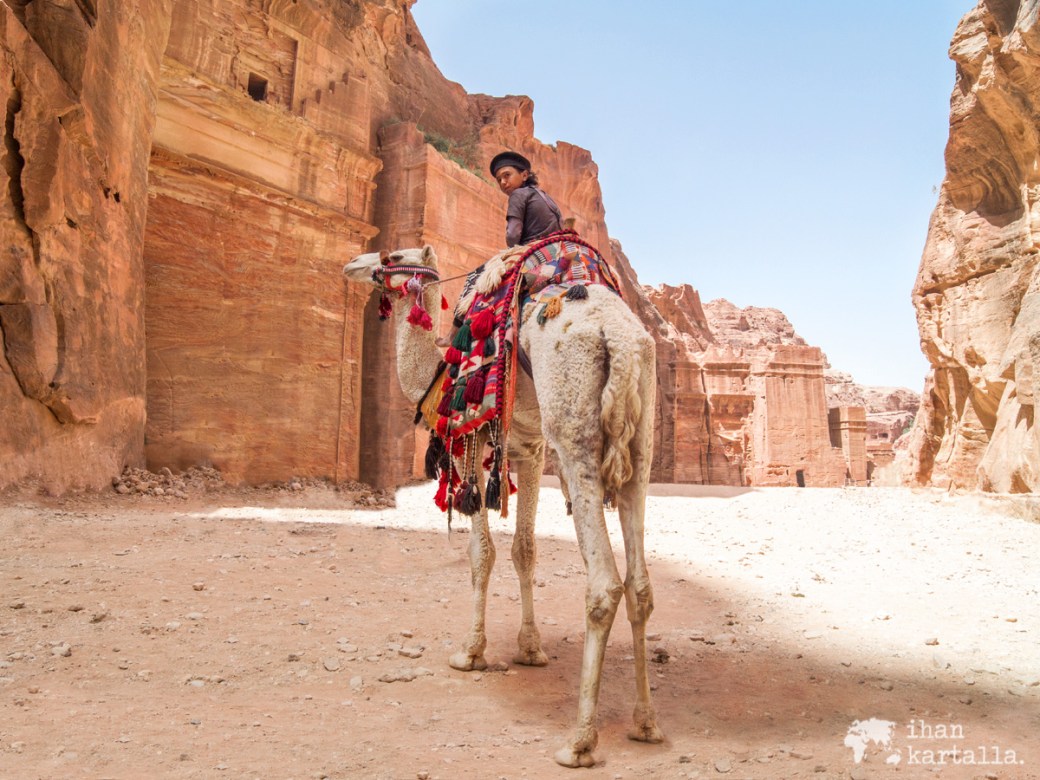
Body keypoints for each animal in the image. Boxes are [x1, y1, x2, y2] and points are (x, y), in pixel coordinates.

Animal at [342, 244, 663, 767]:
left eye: (391, 256)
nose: (352, 264)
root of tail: (617, 335)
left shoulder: (468, 442)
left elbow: (482, 555)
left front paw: (471, 653)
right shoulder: (529, 449)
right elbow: (525, 551)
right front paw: (530, 649)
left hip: (574, 432)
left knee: (603, 584)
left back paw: (579, 740)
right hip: (640, 441)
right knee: (639, 584)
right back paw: (646, 723)